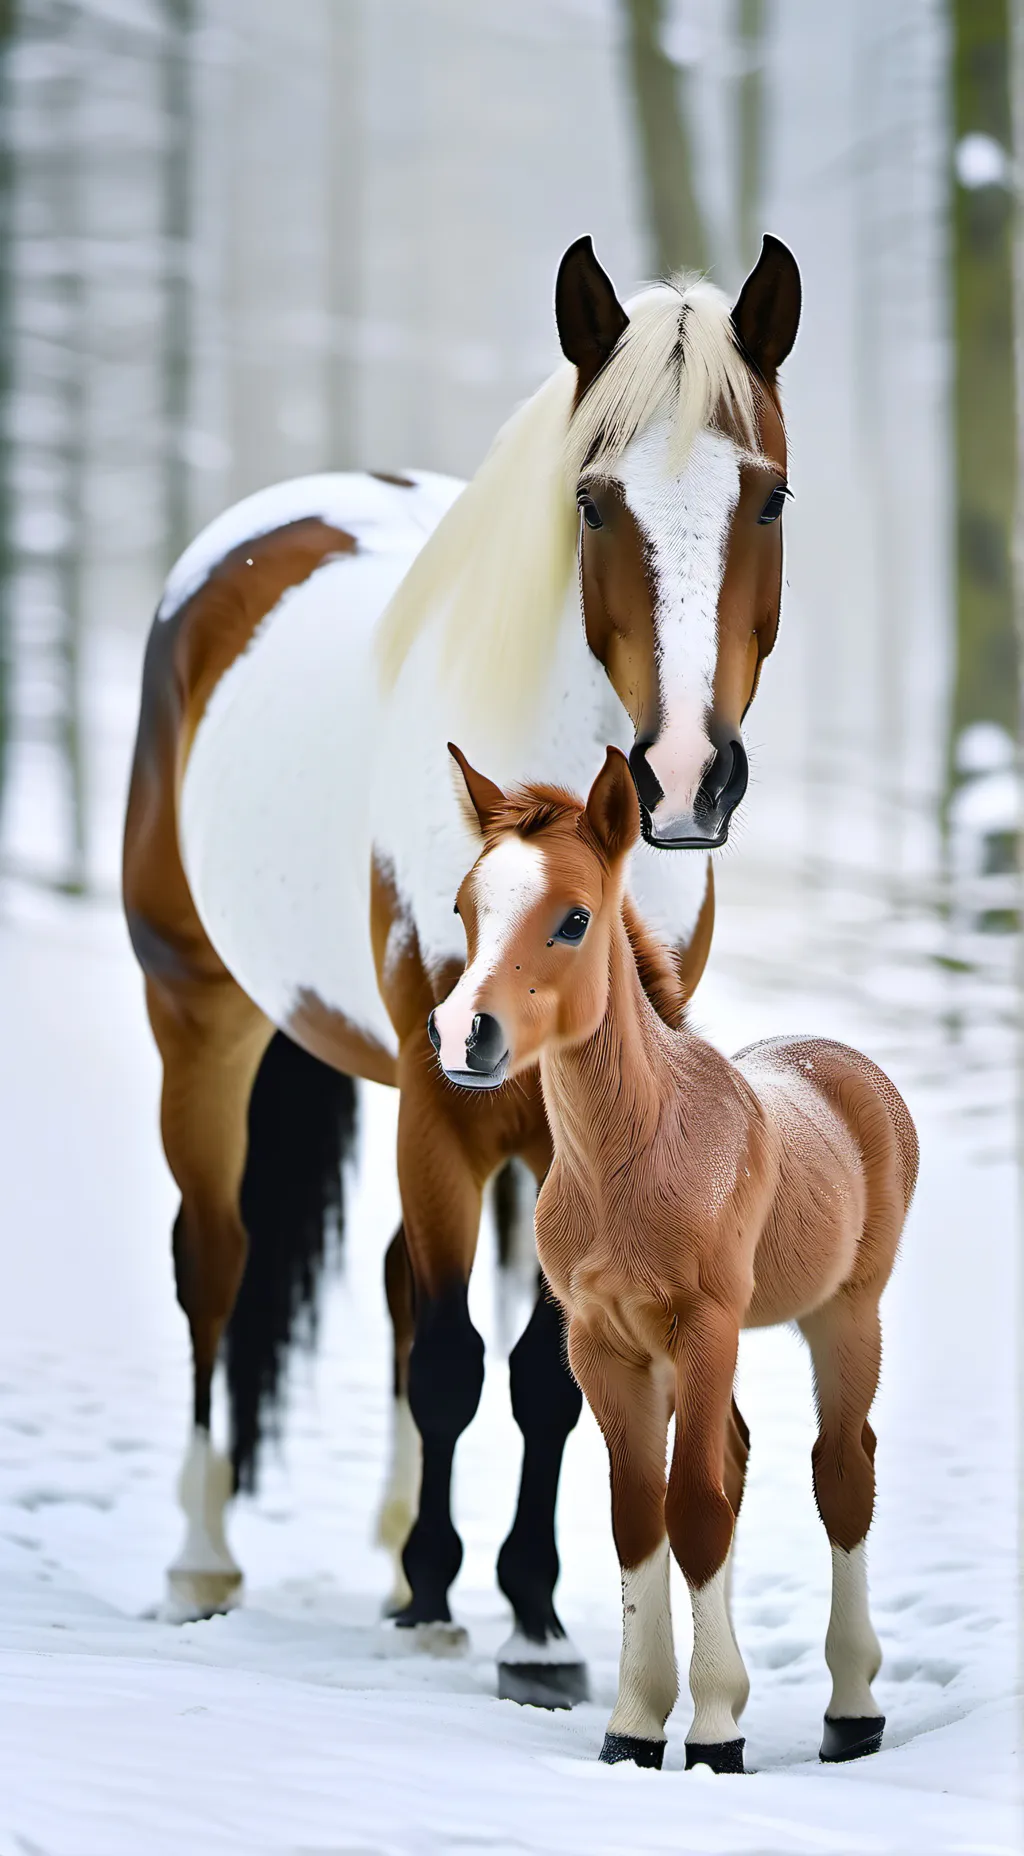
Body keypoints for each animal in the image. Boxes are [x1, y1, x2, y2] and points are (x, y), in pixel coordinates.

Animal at [122, 232, 801, 1704]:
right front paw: (445, 1601)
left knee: (384, 1279)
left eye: (769, 498)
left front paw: (533, 1622)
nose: (683, 778)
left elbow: (546, 1368)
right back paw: (204, 1562)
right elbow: (449, 1354)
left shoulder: (567, 1113)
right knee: (214, 1260)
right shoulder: (446, 1096)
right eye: (594, 503)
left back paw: (389, 1562)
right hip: (199, 1015)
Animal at [432, 744, 918, 1768]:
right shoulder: (601, 1344)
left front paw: (717, 1734)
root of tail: (851, 1067)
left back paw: (852, 1709)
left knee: (841, 1471)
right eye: (464, 907)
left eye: (575, 917)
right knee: (736, 1456)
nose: (463, 1037)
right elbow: (639, 1515)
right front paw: (637, 1726)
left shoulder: (707, 1326)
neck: (637, 1156)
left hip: (847, 1315)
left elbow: (693, 1510)